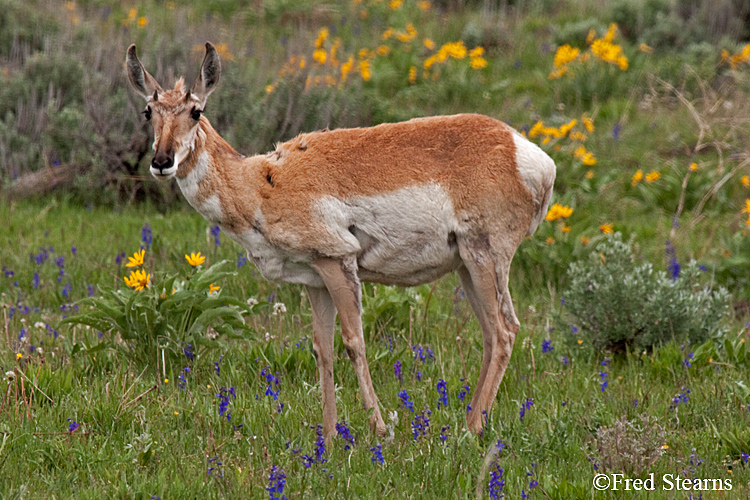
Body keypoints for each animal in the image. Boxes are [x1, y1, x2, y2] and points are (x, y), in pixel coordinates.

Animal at [125, 44, 560, 442]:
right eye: (149, 112)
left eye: (195, 112)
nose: (161, 162)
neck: (261, 182)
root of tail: (527, 152)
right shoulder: (315, 280)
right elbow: (323, 349)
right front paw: (331, 436)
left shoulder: (337, 262)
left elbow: (354, 342)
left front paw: (379, 429)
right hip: (467, 267)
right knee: (490, 333)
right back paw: (470, 420)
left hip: (485, 256)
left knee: (504, 331)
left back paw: (470, 430)